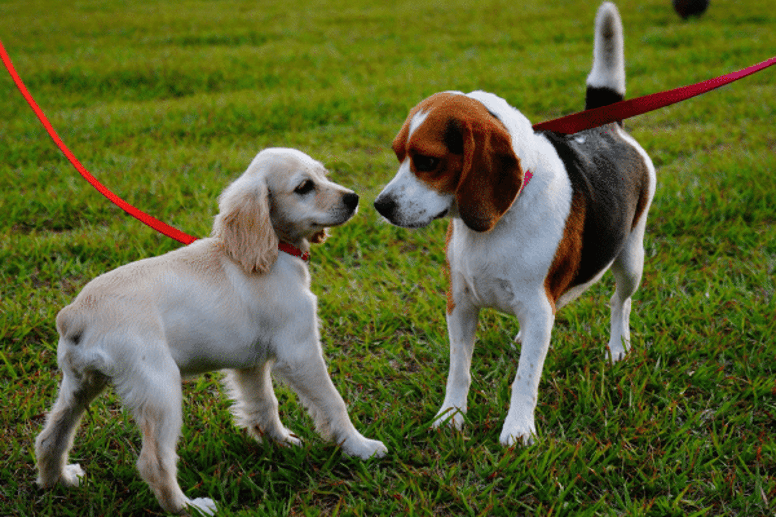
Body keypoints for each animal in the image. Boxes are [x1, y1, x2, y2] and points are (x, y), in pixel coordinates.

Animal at [36, 147, 388, 512]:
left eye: (323, 175)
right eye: (305, 187)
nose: (354, 198)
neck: (274, 250)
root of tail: (75, 314)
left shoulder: (251, 365)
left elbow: (264, 404)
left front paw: (279, 442)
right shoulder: (300, 352)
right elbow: (333, 403)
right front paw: (360, 447)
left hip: (80, 384)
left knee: (50, 437)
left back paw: (59, 482)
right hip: (159, 388)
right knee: (153, 462)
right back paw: (190, 507)